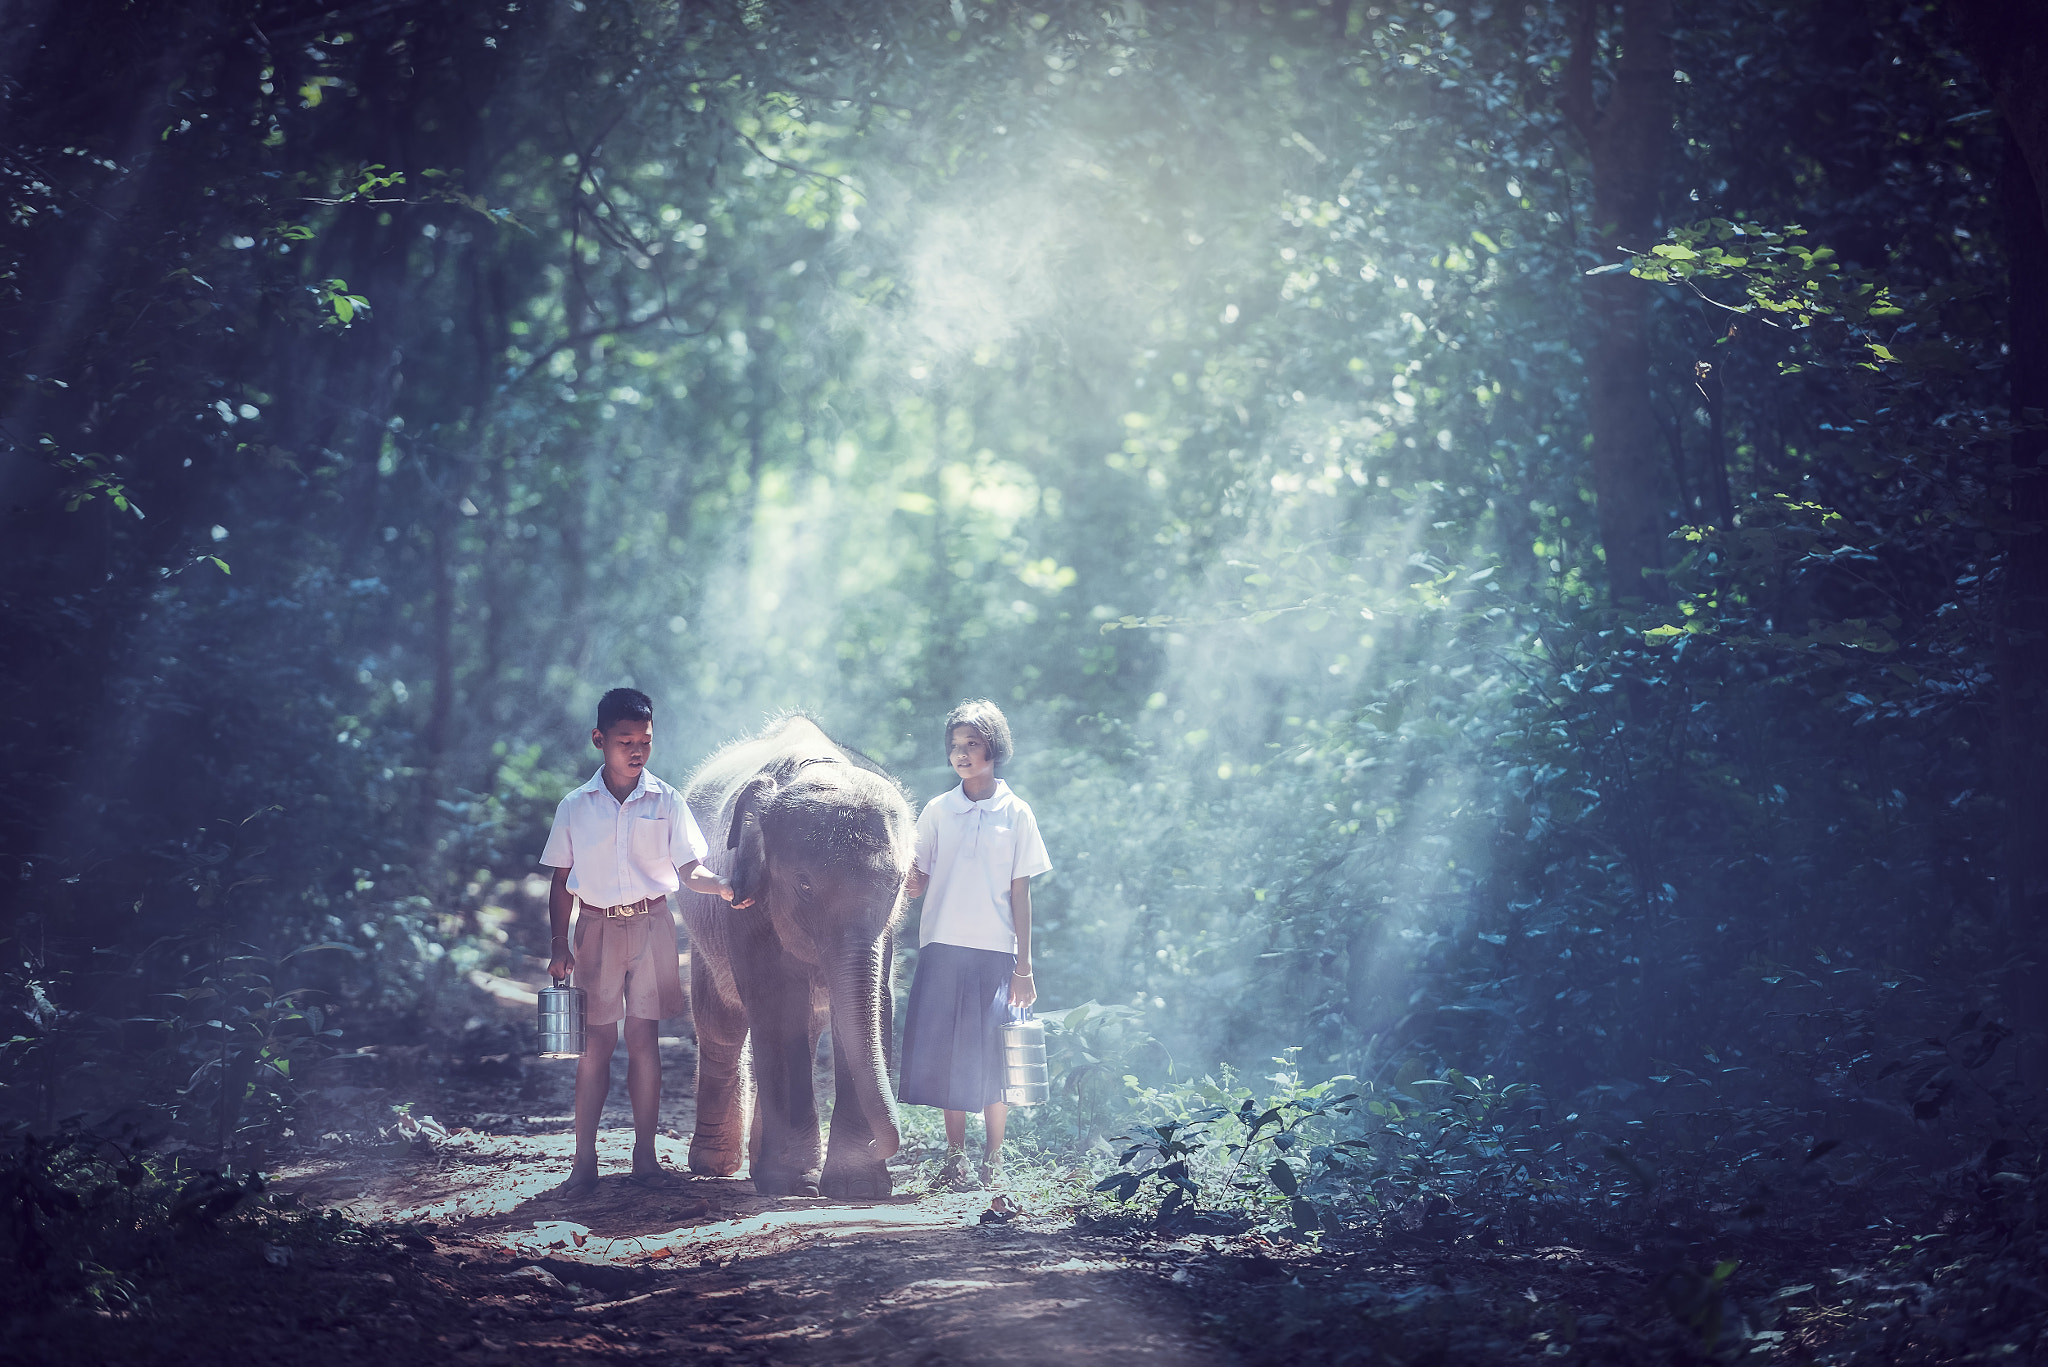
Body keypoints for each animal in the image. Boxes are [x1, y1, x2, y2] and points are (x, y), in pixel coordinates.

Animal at [679, 717, 913, 1196]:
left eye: (897, 885)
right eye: (804, 885)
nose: (883, 1145)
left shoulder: (885, 931)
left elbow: (872, 1005)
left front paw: (858, 1188)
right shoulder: (746, 895)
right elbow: (776, 1000)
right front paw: (792, 1184)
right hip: (704, 937)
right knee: (721, 1024)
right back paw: (716, 1166)